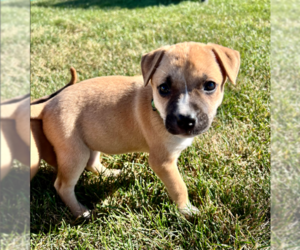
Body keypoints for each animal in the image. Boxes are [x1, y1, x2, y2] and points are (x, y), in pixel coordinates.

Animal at [30, 42, 240, 219]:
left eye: (210, 85)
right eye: (164, 88)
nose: (186, 120)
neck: (155, 106)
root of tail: (47, 104)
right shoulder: (162, 162)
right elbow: (179, 187)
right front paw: (187, 211)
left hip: (91, 140)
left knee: (92, 163)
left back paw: (112, 174)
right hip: (74, 153)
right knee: (63, 185)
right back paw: (80, 212)